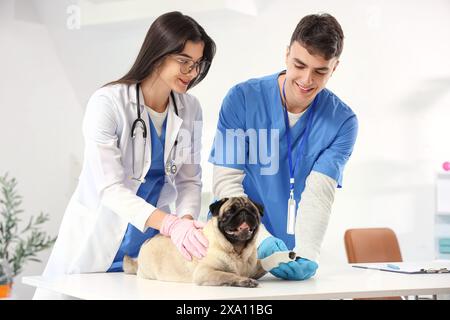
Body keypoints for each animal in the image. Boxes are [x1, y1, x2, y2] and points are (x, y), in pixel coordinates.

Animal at [123, 198, 268, 288]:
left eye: (253, 211)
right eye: (230, 212)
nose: (244, 211)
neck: (238, 251)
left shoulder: (253, 268)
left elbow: (263, 264)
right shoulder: (205, 272)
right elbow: (228, 275)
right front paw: (244, 280)